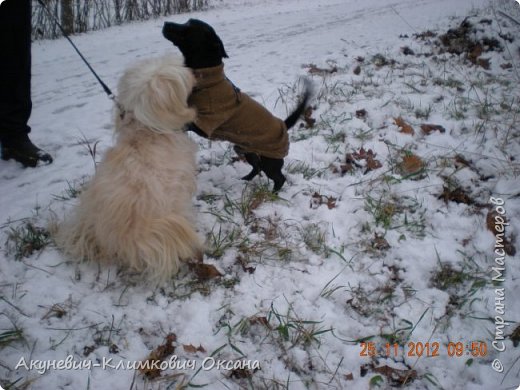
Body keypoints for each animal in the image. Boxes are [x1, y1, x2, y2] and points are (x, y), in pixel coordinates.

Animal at [162, 19, 308, 193]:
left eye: (189, 27)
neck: (208, 81)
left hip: (270, 161)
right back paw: (246, 180)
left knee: (279, 178)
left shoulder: (205, 124)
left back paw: (273, 194)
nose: (165, 23)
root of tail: (284, 125)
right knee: (257, 167)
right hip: (247, 151)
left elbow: (185, 122)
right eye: (187, 21)